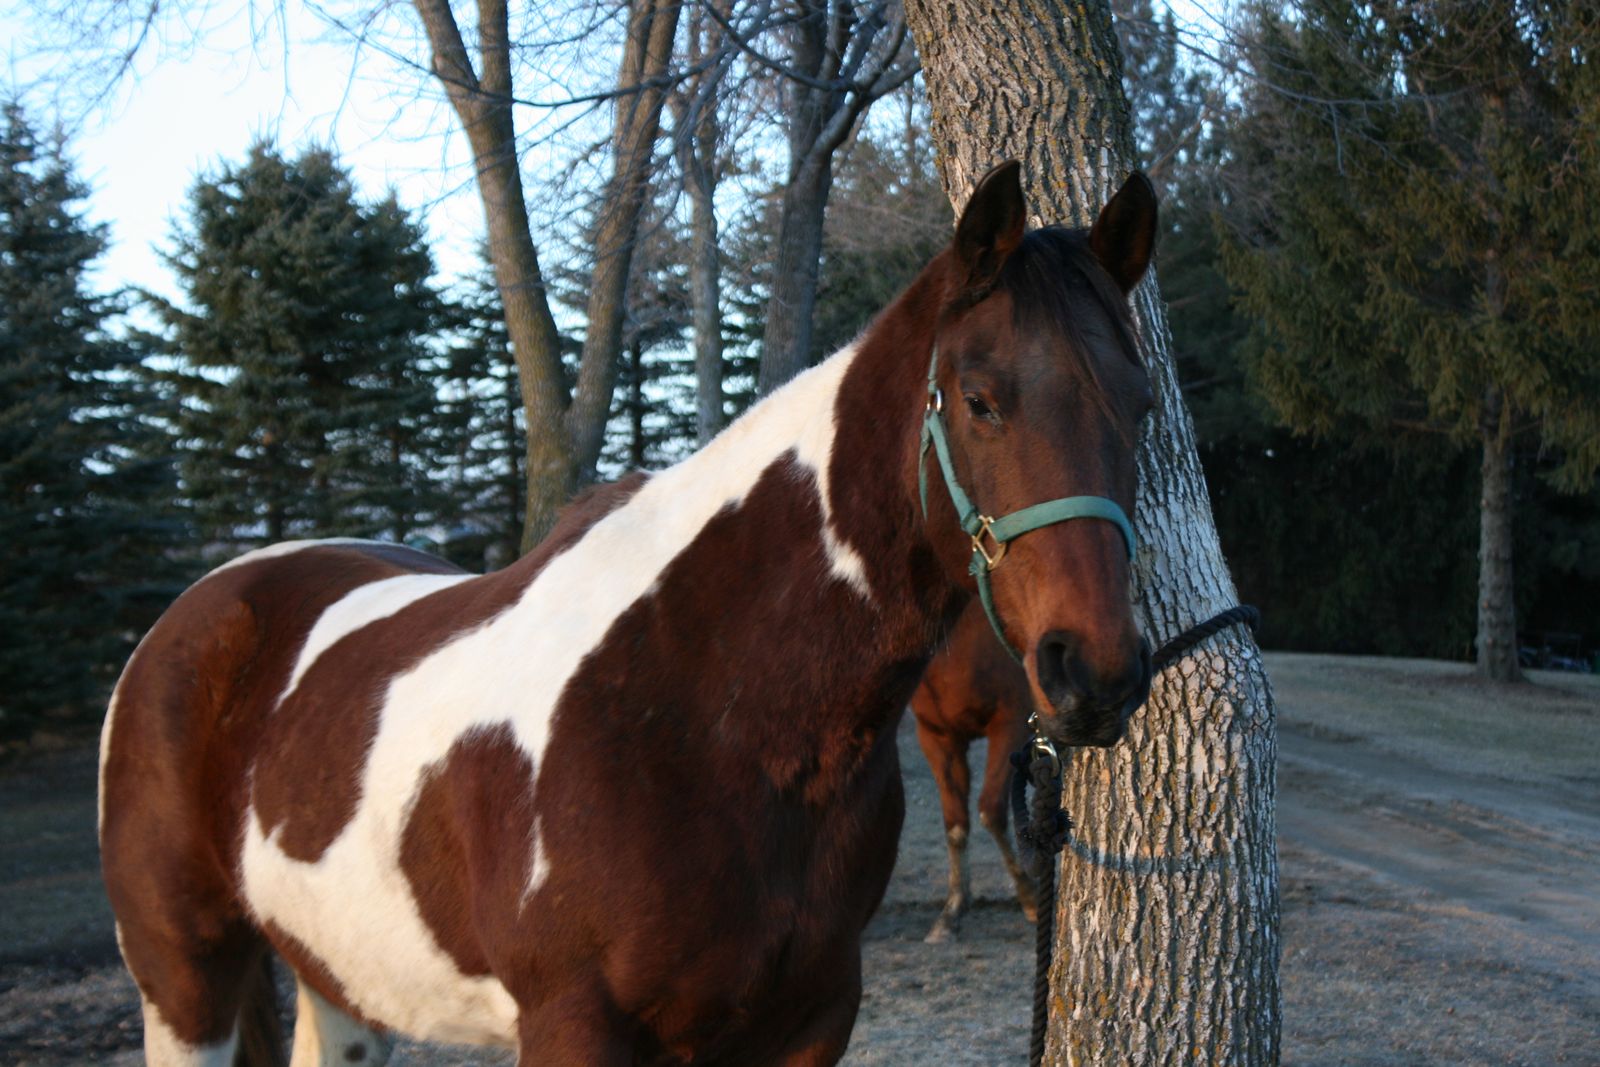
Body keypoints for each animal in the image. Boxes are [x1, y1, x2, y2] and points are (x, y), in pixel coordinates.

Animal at [911, 600, 1040, 943]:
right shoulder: (938, 739)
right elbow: (955, 825)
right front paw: (952, 912)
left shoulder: (1011, 726)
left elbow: (991, 813)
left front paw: (1030, 896)